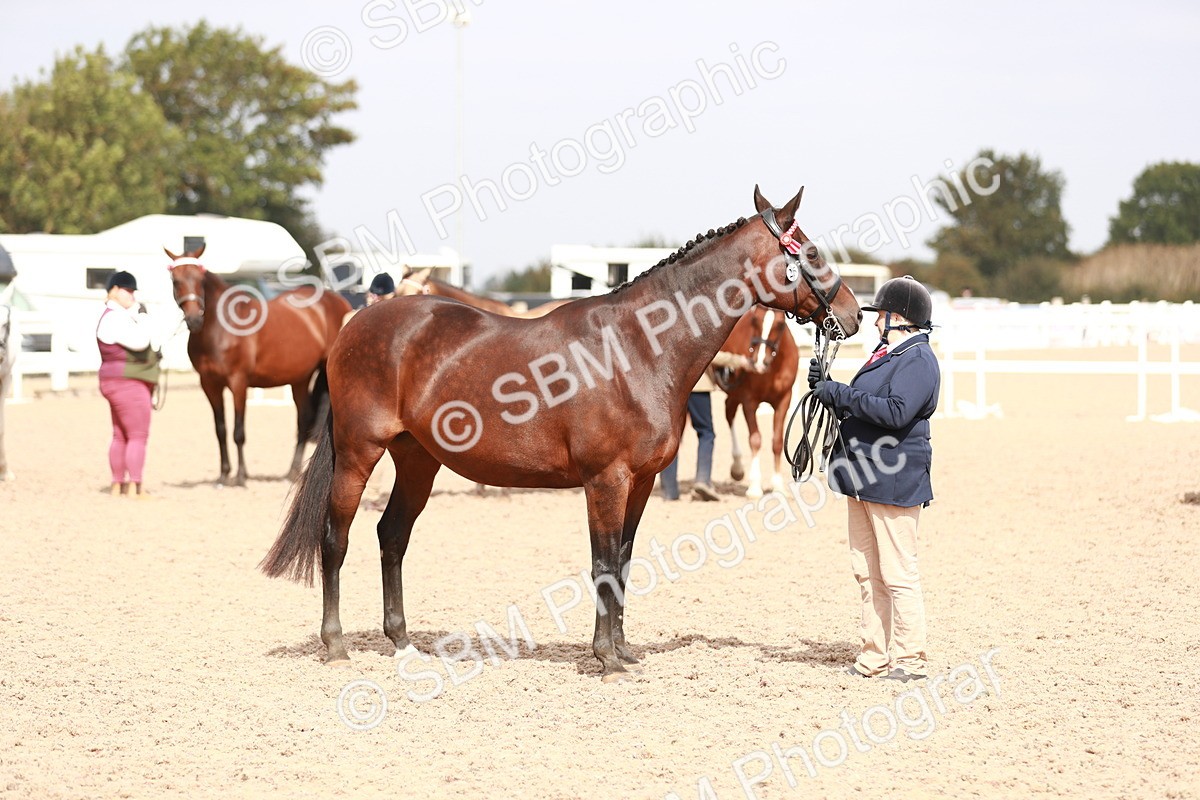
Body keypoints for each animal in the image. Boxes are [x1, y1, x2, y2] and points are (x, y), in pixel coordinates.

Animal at [166, 245, 351, 486]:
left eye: (199, 279)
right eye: (175, 280)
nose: (194, 320)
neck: (220, 329)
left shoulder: (238, 383)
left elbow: (238, 431)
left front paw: (240, 476)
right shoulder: (209, 384)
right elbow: (220, 430)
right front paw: (224, 475)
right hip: (299, 379)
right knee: (303, 420)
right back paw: (292, 471)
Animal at [715, 306, 800, 498]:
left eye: (780, 324)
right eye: (754, 319)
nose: (760, 362)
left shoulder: (784, 400)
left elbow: (777, 441)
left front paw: (778, 485)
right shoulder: (749, 401)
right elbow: (755, 440)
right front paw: (754, 487)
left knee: (729, 409)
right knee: (729, 415)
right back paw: (737, 468)